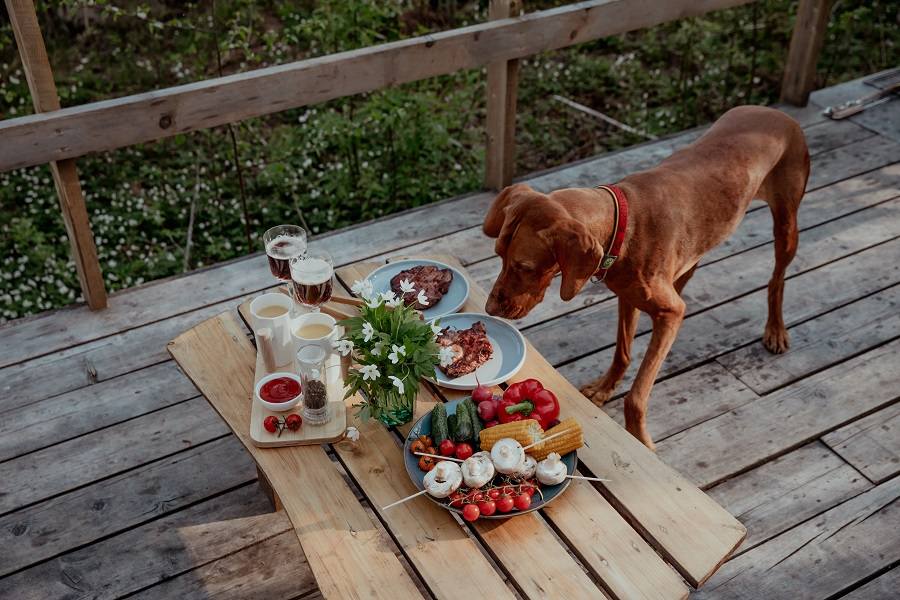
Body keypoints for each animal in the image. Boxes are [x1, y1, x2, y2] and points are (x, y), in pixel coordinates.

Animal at [486, 105, 808, 448]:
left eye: (524, 267)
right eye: (499, 254)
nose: (490, 309)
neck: (622, 224)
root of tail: (775, 112)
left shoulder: (669, 314)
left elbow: (636, 397)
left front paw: (641, 439)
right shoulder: (629, 298)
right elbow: (623, 353)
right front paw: (605, 387)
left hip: (787, 224)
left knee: (777, 279)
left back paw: (775, 329)